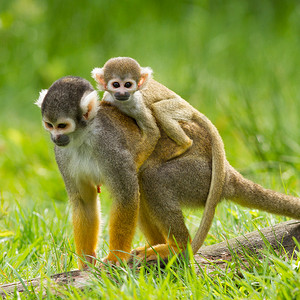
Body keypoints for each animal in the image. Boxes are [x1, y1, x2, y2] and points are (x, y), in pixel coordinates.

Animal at [92, 58, 226, 255]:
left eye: (128, 84)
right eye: (116, 84)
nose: (122, 93)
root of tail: (192, 108)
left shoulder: (139, 105)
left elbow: (153, 131)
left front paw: (135, 165)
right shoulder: (109, 98)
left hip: (179, 109)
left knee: (159, 109)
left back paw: (184, 144)